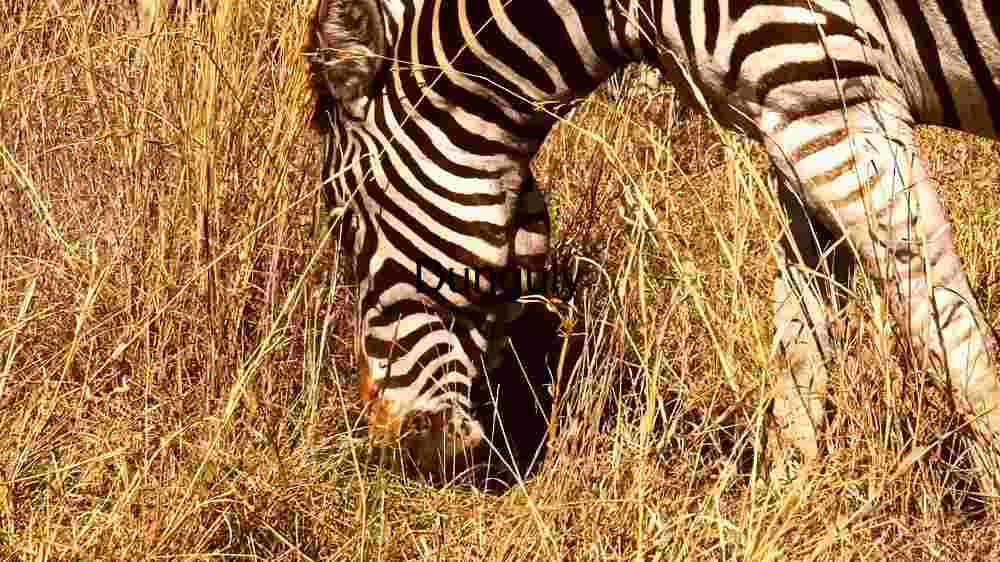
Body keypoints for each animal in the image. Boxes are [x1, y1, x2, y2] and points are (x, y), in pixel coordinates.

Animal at [307, 0, 1000, 490]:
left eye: (344, 226)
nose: (392, 442)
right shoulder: (799, 117)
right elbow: (801, 328)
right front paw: (784, 494)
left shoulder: (830, 100)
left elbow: (943, 325)